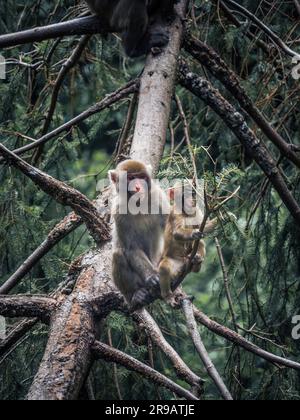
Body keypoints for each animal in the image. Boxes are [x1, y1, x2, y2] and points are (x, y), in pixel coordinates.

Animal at [109, 159, 170, 306]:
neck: (138, 205)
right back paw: (135, 294)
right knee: (118, 254)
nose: (138, 187)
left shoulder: (159, 198)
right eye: (131, 178)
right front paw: (152, 276)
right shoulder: (118, 213)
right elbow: (131, 248)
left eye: (142, 177)